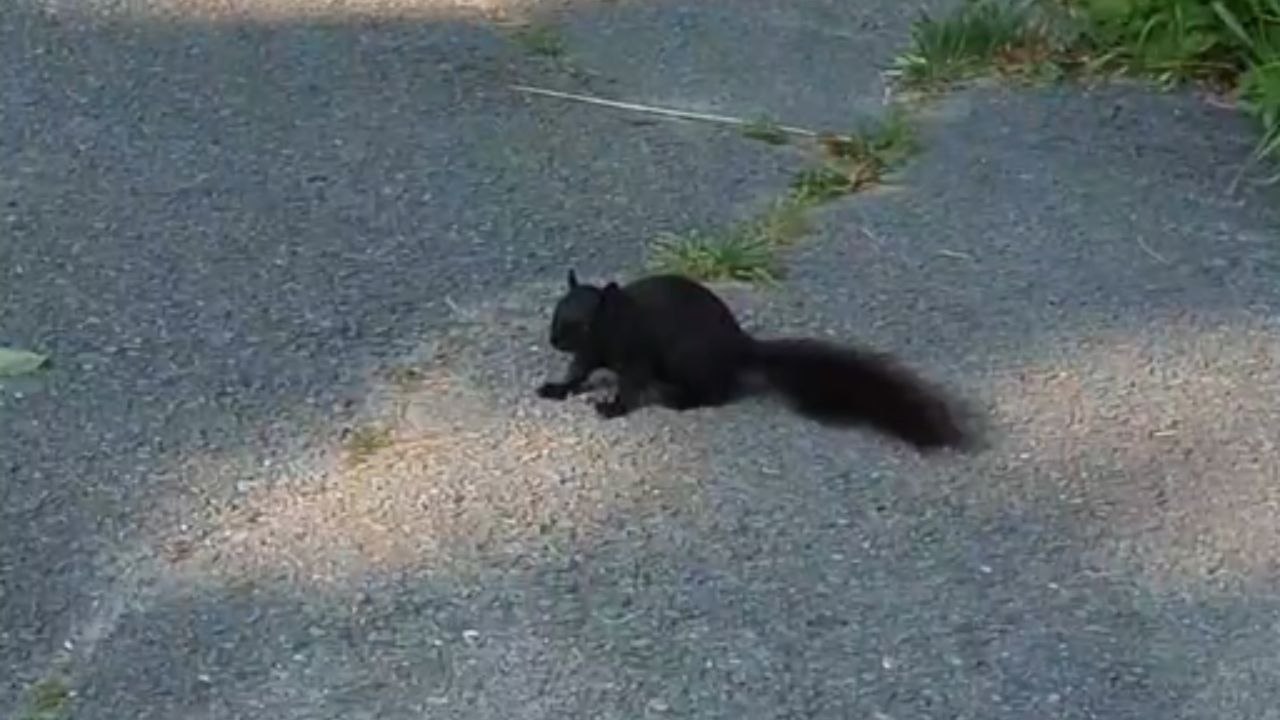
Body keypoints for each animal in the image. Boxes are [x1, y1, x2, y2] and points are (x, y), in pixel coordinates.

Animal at [535, 270, 979, 452]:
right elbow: (576, 373)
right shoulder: (589, 355)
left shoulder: (636, 354)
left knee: (715, 394)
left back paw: (677, 400)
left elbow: (630, 385)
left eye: (583, 322)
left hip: (689, 360)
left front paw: (611, 407)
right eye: (556, 311)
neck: (614, 326)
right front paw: (555, 388)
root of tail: (740, 347)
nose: (554, 339)